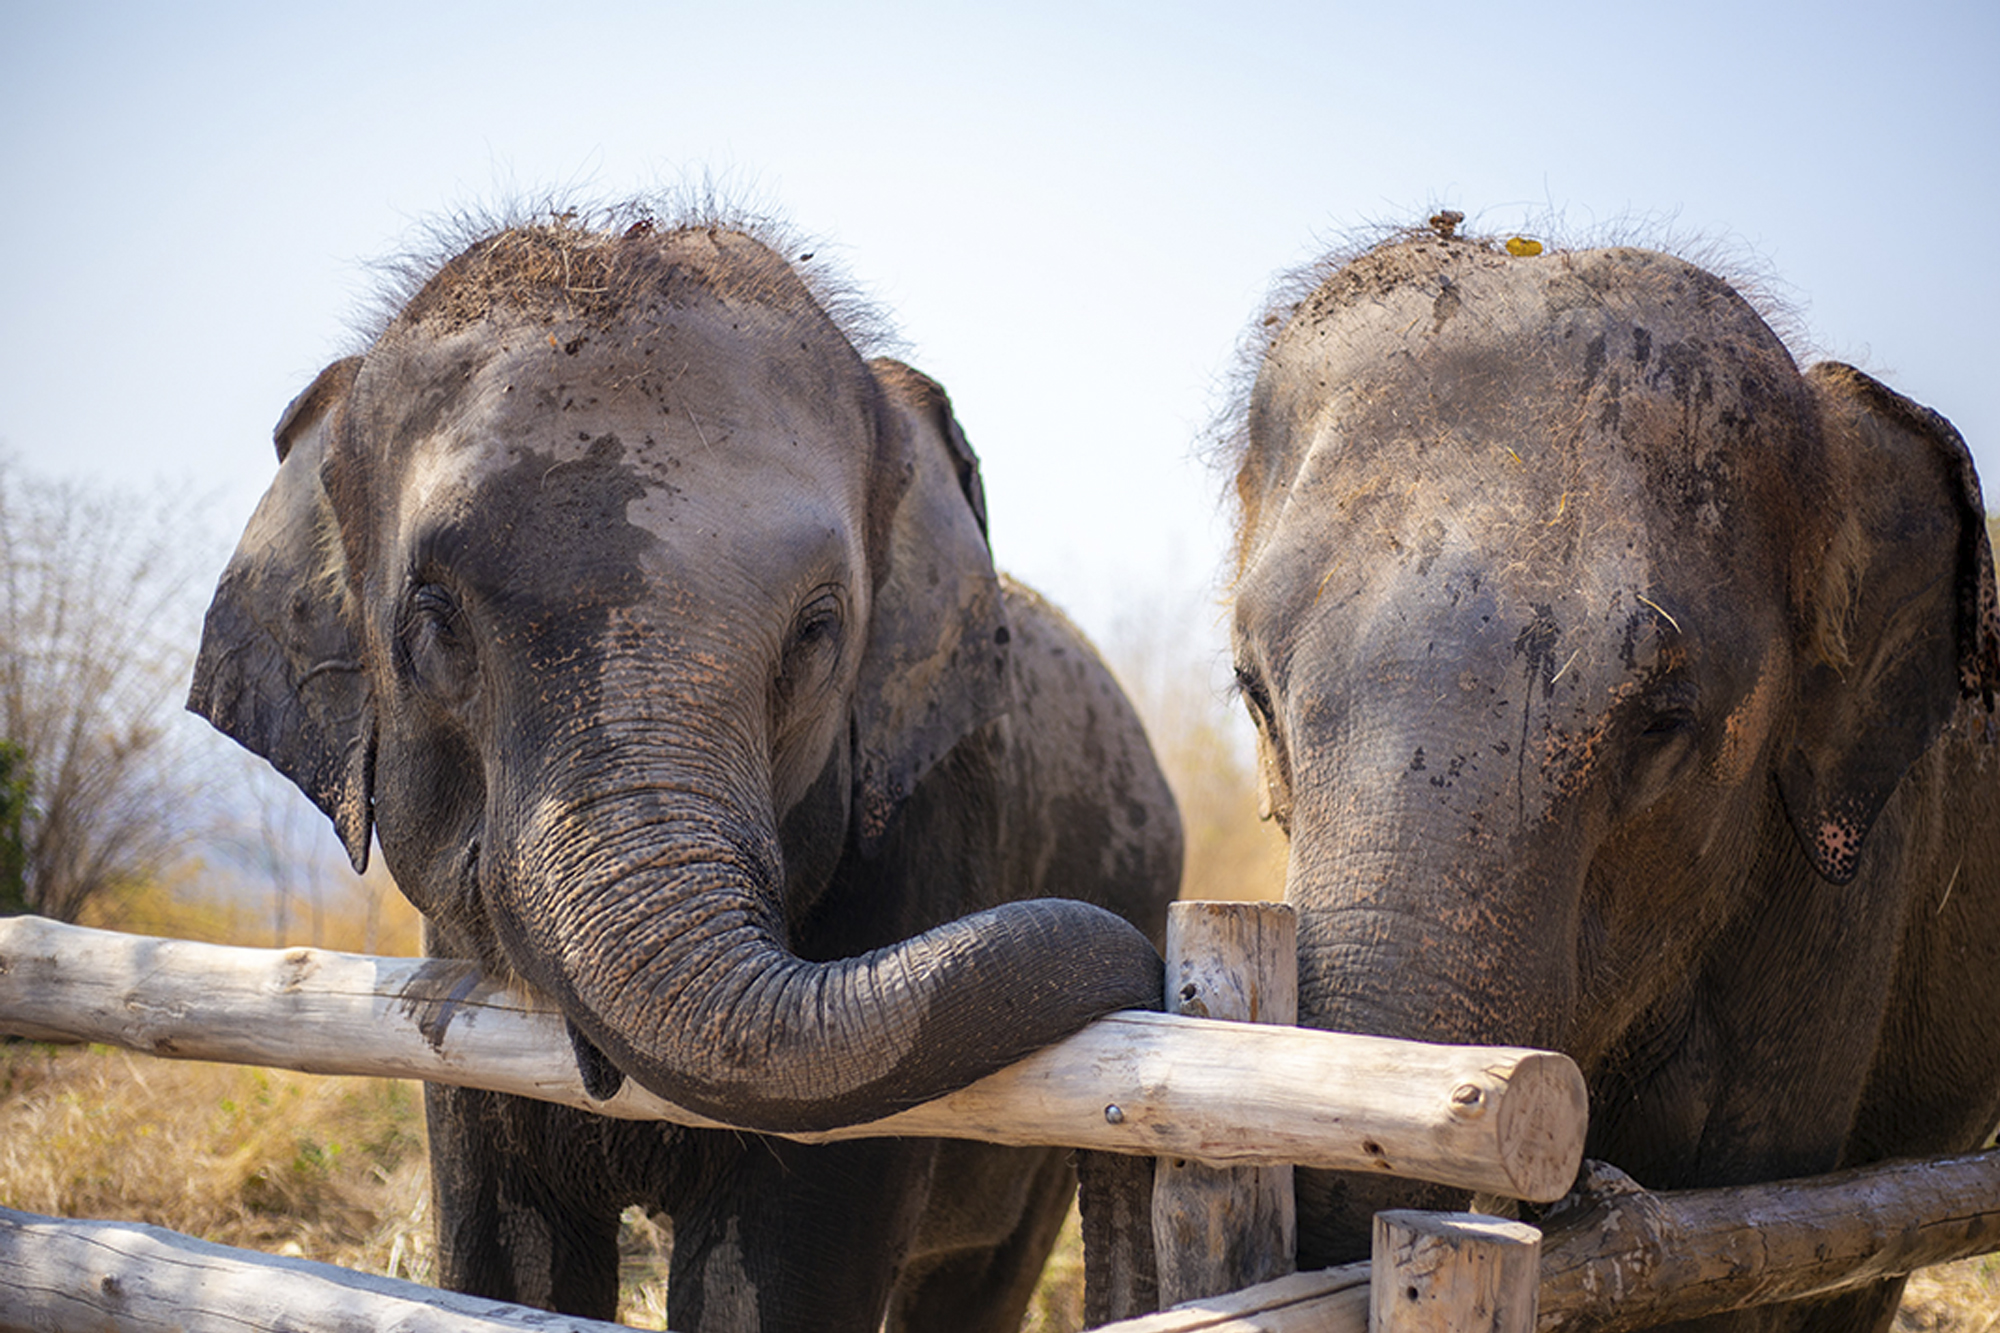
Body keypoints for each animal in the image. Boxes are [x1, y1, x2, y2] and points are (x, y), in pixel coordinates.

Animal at [187, 211, 1181, 1332]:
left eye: (819, 628)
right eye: (434, 619)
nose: (1143, 960)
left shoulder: (918, 843)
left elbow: (773, 1282)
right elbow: (505, 1268)